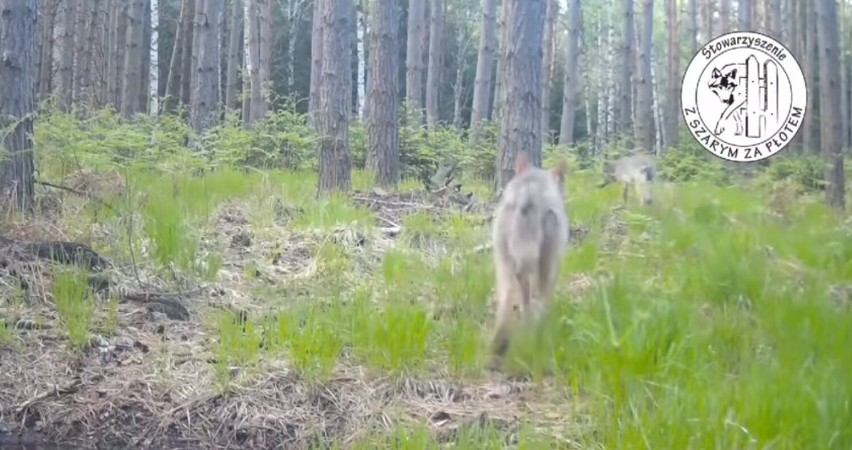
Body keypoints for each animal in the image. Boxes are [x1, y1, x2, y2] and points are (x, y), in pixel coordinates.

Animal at [490, 153, 568, 360]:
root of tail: (528, 195)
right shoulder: (554, 265)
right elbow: (544, 298)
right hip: (545, 260)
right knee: (537, 299)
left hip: (503, 257)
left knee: (508, 298)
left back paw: (500, 343)